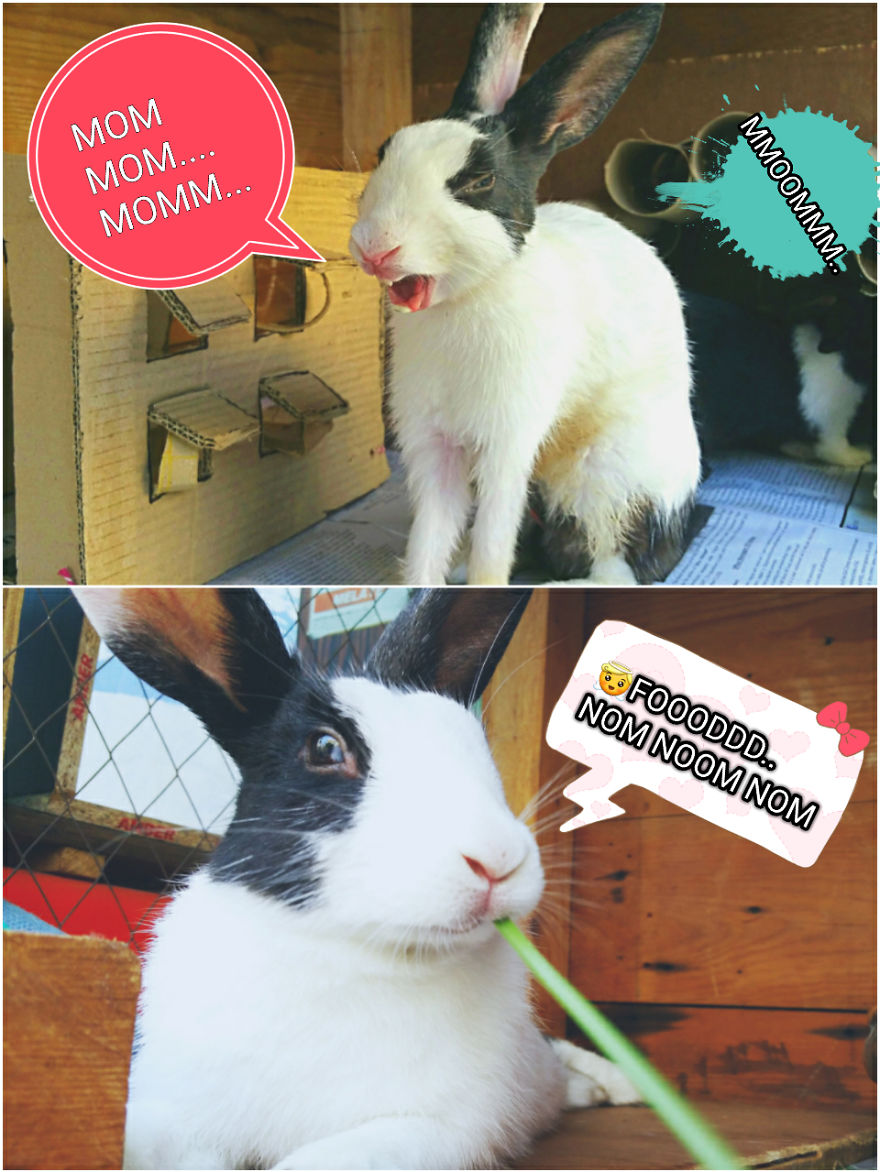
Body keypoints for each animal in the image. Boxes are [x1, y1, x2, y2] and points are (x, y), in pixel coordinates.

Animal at [73, 587, 639, 1170]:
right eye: (324, 748)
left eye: (477, 745)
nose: (498, 859)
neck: (349, 946)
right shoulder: (171, 1107)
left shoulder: (425, 1131)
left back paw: (619, 1088)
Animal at [349, 3, 701, 586]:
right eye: (384, 151)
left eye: (478, 181)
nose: (375, 246)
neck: (466, 299)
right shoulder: (435, 446)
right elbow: (430, 534)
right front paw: (423, 584)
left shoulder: (507, 442)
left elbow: (495, 538)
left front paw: (486, 582)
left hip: (605, 475)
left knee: (619, 548)